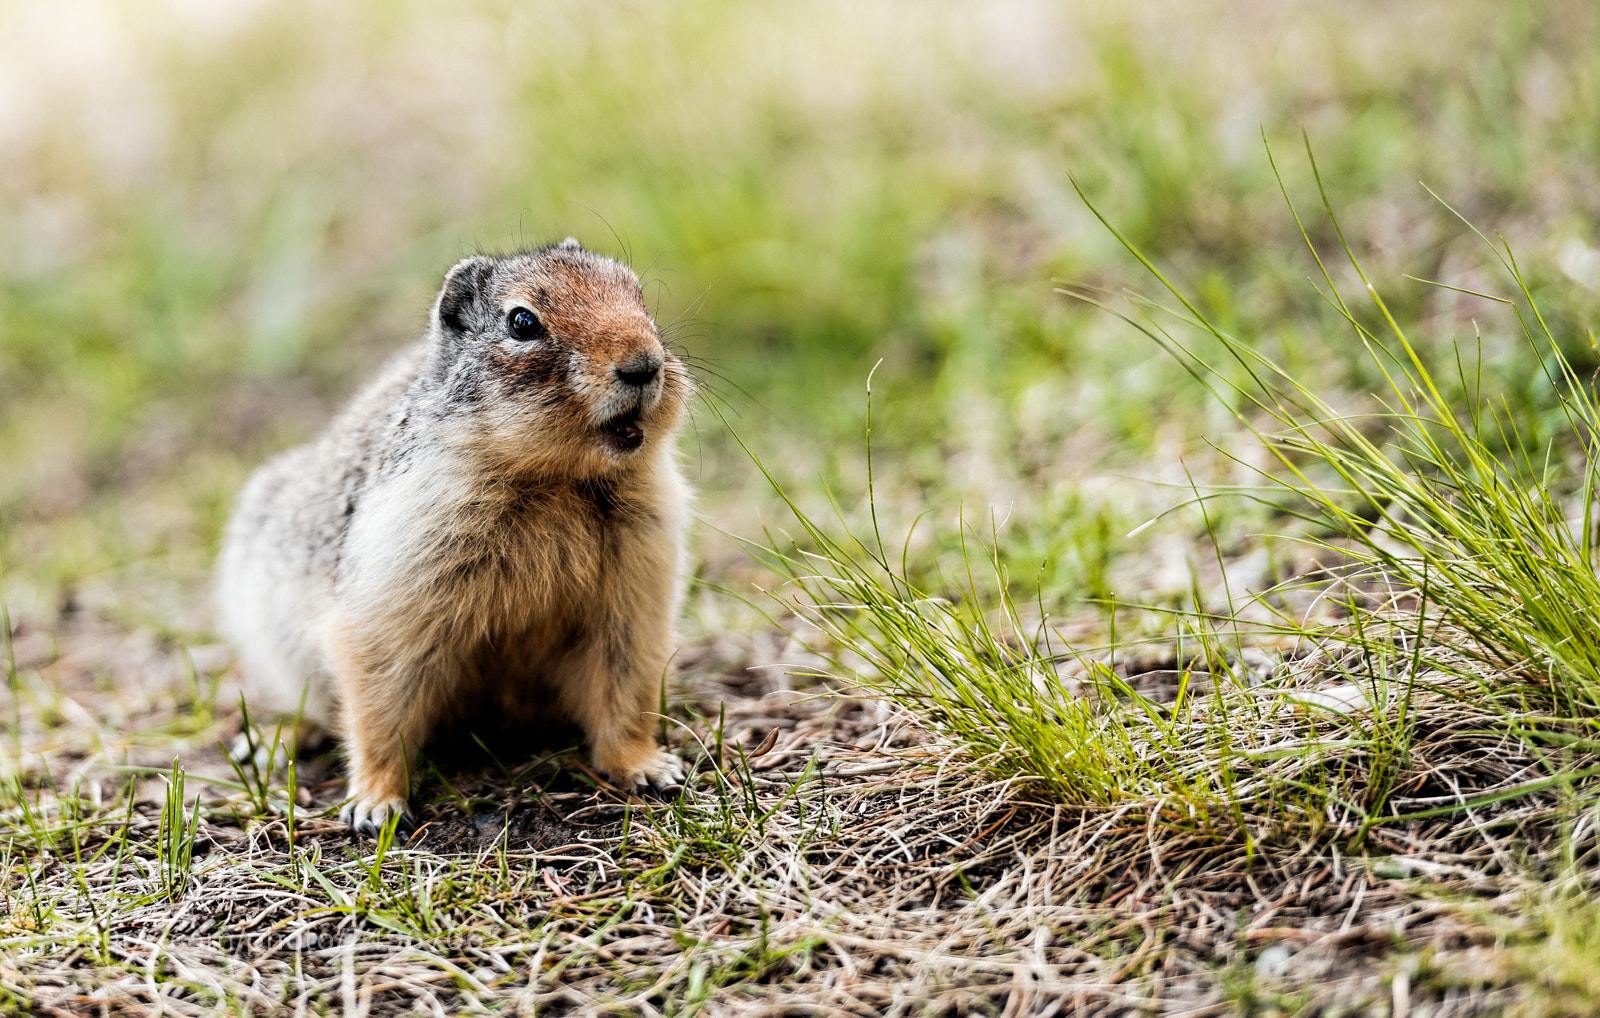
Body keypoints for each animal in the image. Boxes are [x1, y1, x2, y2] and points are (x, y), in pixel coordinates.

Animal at [215, 238, 691, 837]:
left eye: (638, 294)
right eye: (522, 321)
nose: (644, 363)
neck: (556, 481)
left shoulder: (639, 571)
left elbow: (625, 676)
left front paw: (650, 767)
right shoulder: (402, 564)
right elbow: (380, 683)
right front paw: (375, 805)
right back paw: (273, 740)